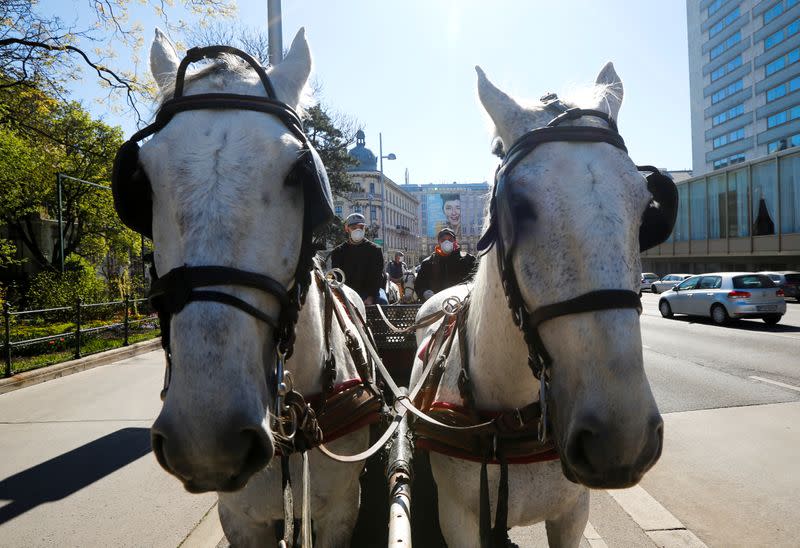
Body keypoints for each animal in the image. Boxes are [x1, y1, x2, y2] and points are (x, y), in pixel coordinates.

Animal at [410, 65, 664, 548]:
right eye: (517, 206)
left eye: (647, 208)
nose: (621, 438)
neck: (508, 421)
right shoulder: (458, 518)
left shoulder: (572, 514)